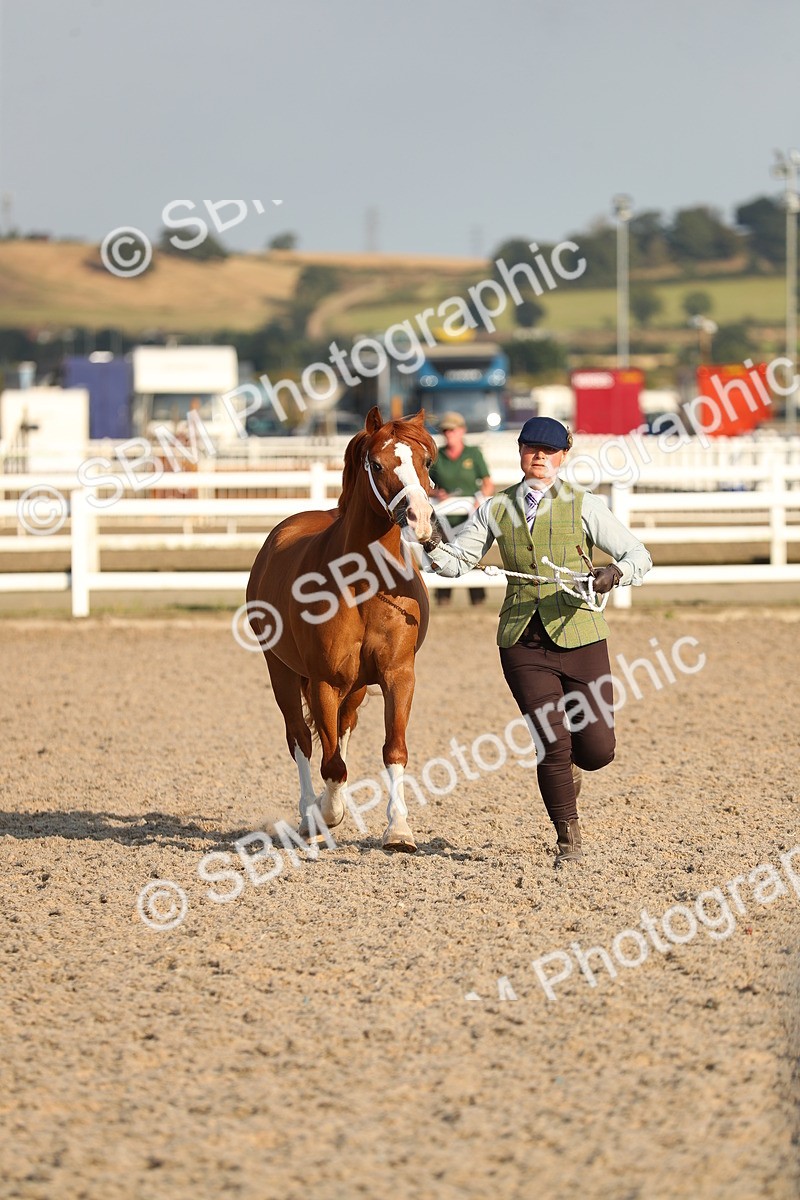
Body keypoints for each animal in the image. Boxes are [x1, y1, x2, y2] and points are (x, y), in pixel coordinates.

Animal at [246, 407, 438, 852]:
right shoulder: (324, 681)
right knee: (300, 739)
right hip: (282, 672)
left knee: (343, 727)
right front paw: (326, 815)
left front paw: (398, 831)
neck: (365, 584)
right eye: (377, 464)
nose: (421, 520)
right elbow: (330, 761)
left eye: (426, 461)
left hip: (357, 686)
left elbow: (393, 750)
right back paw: (307, 816)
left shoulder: (398, 675)